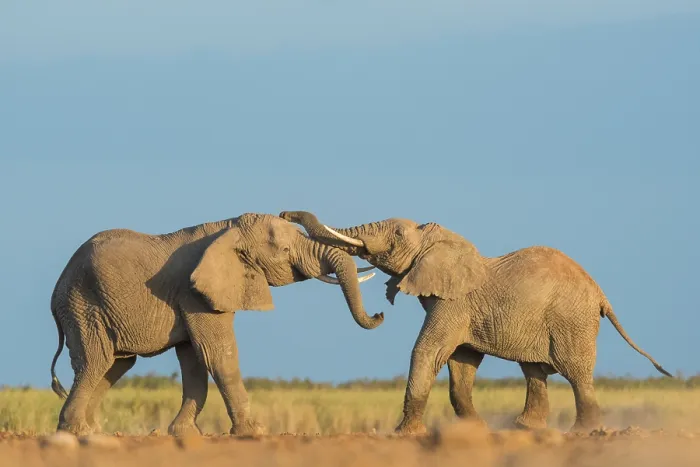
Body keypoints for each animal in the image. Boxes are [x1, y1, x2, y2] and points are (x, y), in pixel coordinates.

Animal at [49, 213, 383, 437]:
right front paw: (254, 431)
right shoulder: (193, 292)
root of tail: (57, 286)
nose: (380, 315)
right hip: (83, 305)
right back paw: (76, 431)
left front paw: (183, 433)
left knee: (117, 364)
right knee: (97, 361)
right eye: (285, 251)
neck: (229, 228)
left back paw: (92, 430)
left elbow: (194, 359)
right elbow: (217, 353)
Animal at [279, 210, 672, 434]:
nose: (284, 212)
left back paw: (585, 431)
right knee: (535, 371)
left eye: (397, 237)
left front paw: (404, 433)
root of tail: (600, 293)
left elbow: (428, 351)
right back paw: (524, 428)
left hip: (570, 319)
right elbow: (461, 362)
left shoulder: (454, 304)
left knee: (576, 372)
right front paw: (476, 427)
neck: (440, 241)